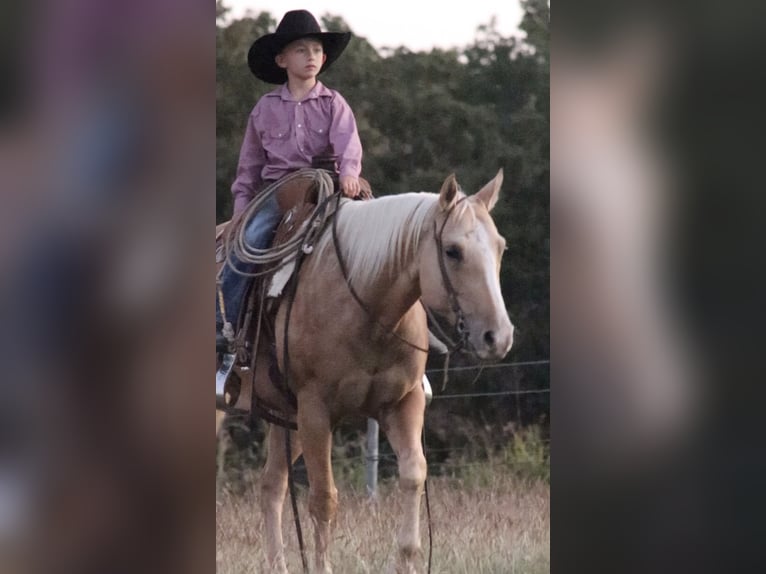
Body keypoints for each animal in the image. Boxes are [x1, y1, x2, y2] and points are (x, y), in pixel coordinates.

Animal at [220, 171, 516, 574]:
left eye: (501, 247)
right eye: (453, 251)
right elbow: (324, 498)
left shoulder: (403, 404)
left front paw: (407, 558)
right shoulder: (315, 411)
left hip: (284, 418)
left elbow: (413, 474)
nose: (498, 337)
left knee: (272, 487)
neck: (365, 305)